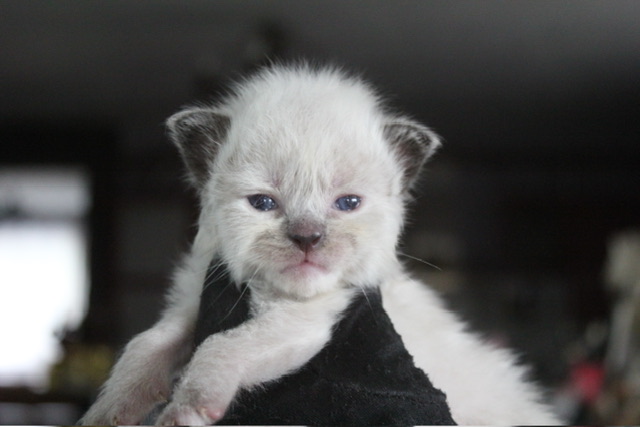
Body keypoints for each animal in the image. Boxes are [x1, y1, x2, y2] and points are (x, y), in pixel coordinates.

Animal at [80, 63, 559, 425]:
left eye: (347, 203)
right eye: (263, 203)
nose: (308, 238)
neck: (269, 293)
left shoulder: (313, 318)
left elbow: (219, 347)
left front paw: (187, 411)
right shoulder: (192, 304)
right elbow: (143, 348)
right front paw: (107, 415)